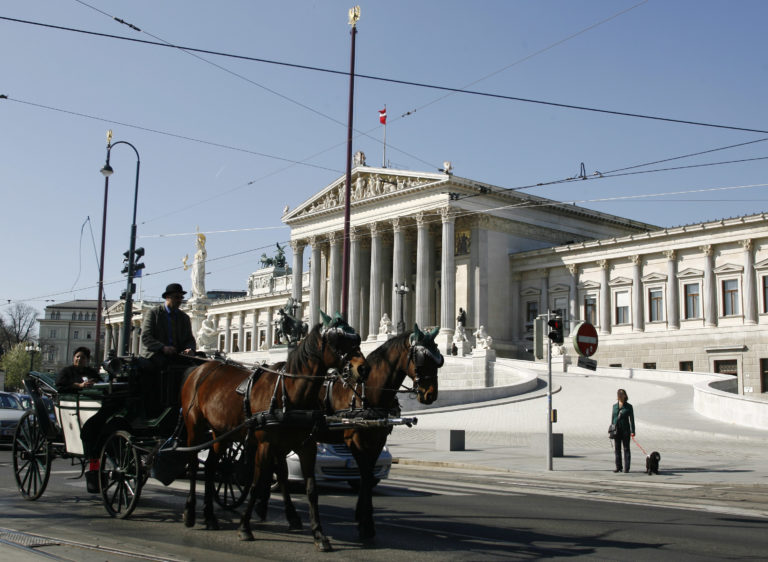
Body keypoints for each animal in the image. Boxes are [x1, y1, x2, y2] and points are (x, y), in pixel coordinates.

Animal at [183, 312, 368, 548]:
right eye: (337, 340)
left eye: (357, 338)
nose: (363, 368)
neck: (291, 392)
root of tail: (202, 367)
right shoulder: (266, 445)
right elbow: (256, 484)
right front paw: (245, 527)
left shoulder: (306, 447)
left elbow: (311, 489)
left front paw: (319, 534)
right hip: (195, 428)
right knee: (192, 464)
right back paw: (190, 513)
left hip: (221, 434)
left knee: (210, 468)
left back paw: (209, 517)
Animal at [264, 324, 444, 540]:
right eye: (421, 358)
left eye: (439, 359)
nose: (430, 395)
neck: (368, 393)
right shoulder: (355, 441)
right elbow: (365, 475)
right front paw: (365, 525)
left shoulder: (377, 441)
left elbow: (366, 476)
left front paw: (363, 519)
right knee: (279, 472)